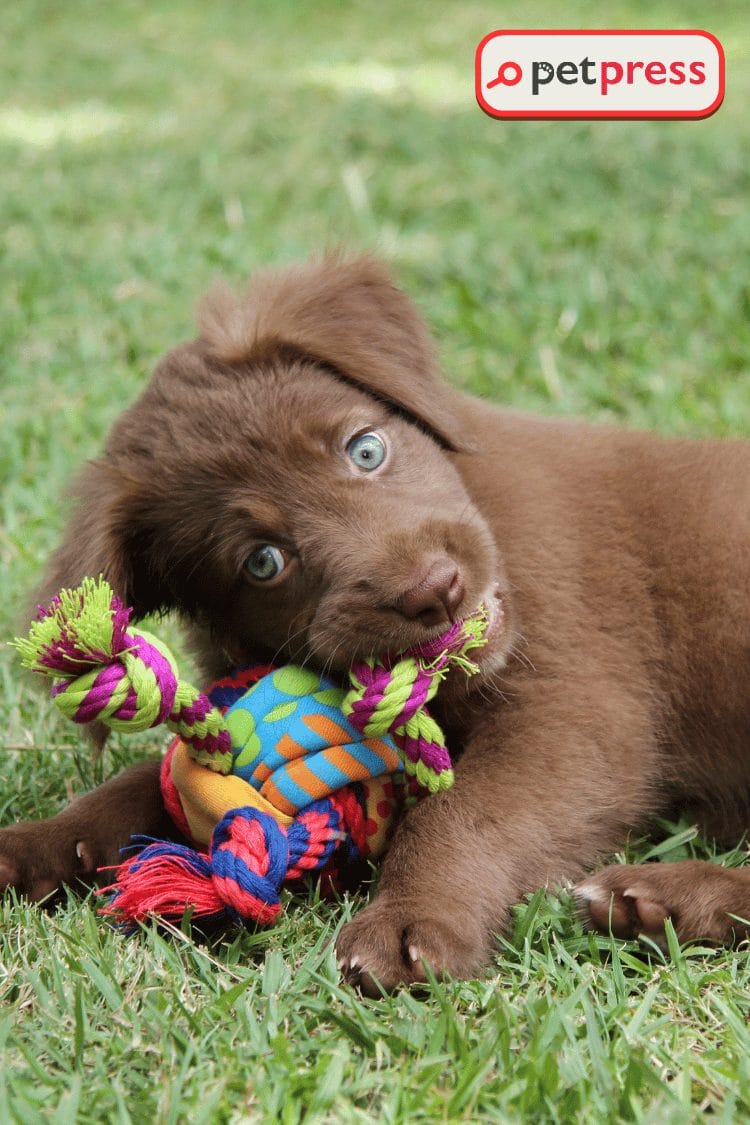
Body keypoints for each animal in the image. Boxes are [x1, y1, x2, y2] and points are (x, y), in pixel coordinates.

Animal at [1, 257, 750, 994]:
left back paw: (665, 897)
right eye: (263, 561)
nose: (436, 591)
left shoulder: (576, 712)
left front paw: (413, 917)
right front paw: (41, 841)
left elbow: (463, 814)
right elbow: (145, 780)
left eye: (366, 450)